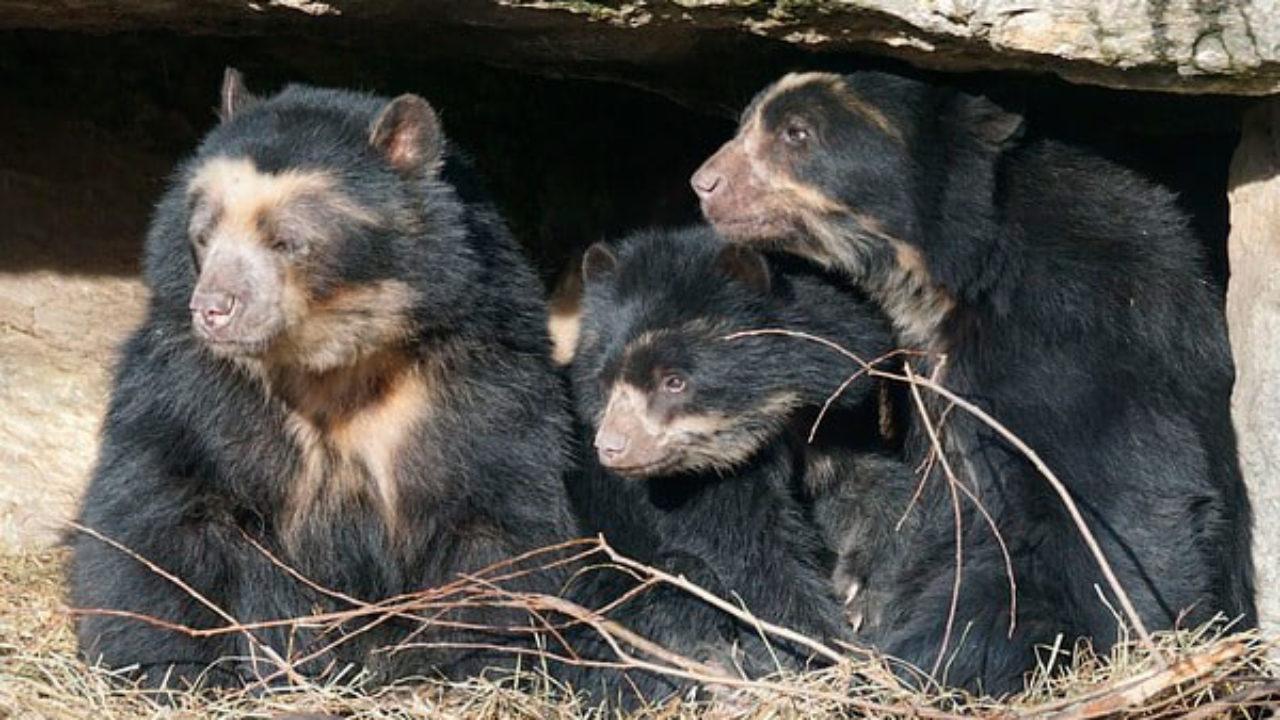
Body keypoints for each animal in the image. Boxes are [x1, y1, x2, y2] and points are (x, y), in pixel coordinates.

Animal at [71, 70, 586, 686]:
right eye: (203, 235)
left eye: (287, 241)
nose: (213, 309)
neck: (331, 357)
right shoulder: (190, 384)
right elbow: (163, 508)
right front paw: (170, 666)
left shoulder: (478, 379)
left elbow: (495, 519)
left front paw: (473, 664)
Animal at [565, 224, 916, 696]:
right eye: (606, 381)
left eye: (673, 381)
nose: (612, 447)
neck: (768, 423)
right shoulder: (693, 487)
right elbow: (756, 565)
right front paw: (843, 659)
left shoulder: (832, 417)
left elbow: (877, 489)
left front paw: (863, 596)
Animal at [696, 71, 1254, 691]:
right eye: (746, 123)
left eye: (797, 133)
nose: (705, 184)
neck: (948, 275)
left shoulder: (1069, 330)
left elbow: (1124, 485)